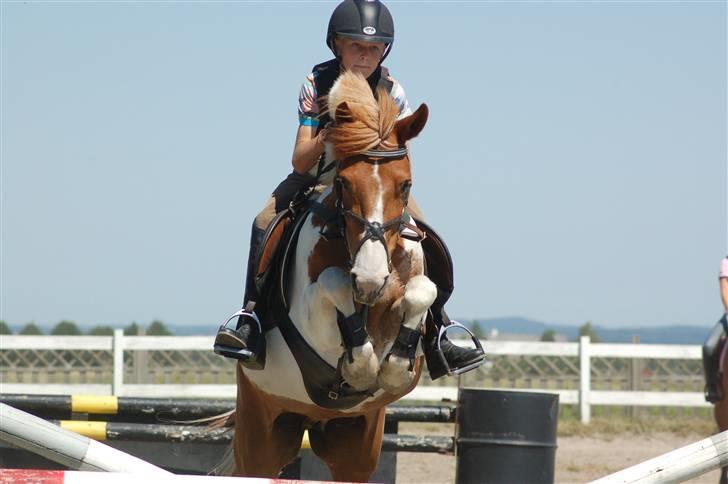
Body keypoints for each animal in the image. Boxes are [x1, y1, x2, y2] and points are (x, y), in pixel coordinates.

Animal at [222, 71, 436, 480]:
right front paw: (360, 365)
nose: (369, 280)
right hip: (261, 431)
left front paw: (392, 368)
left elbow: (423, 290)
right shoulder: (311, 319)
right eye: (343, 184)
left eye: (406, 185)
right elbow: (333, 282)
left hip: (355, 444)